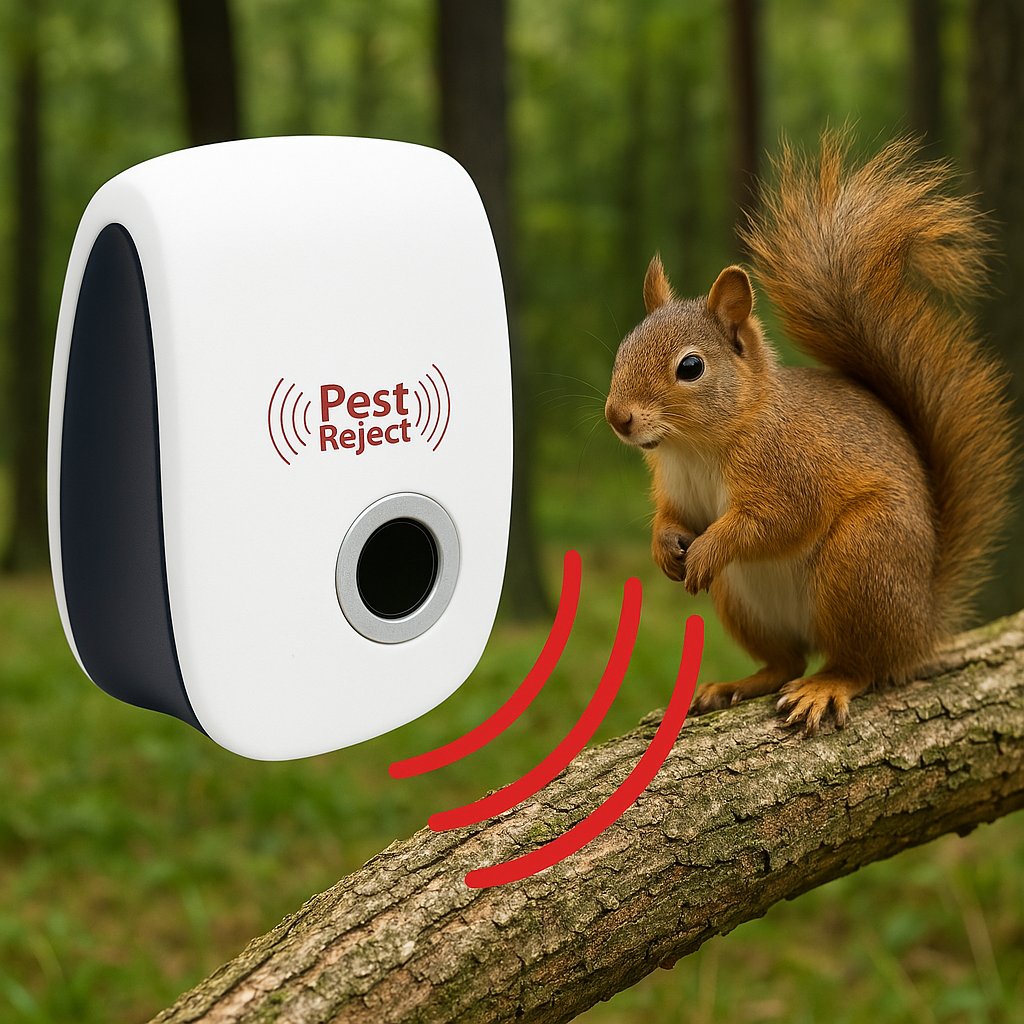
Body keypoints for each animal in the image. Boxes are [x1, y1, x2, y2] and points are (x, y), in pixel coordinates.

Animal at [604, 132, 1016, 735]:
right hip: (746, 601)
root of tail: (921, 622)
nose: (618, 417)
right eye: (623, 348)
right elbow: (674, 517)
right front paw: (664, 545)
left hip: (862, 560)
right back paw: (739, 683)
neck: (696, 445)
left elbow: (774, 520)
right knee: (787, 660)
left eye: (690, 367)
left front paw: (707, 549)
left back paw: (826, 685)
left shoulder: (790, 467)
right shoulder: (677, 487)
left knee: (861, 664)